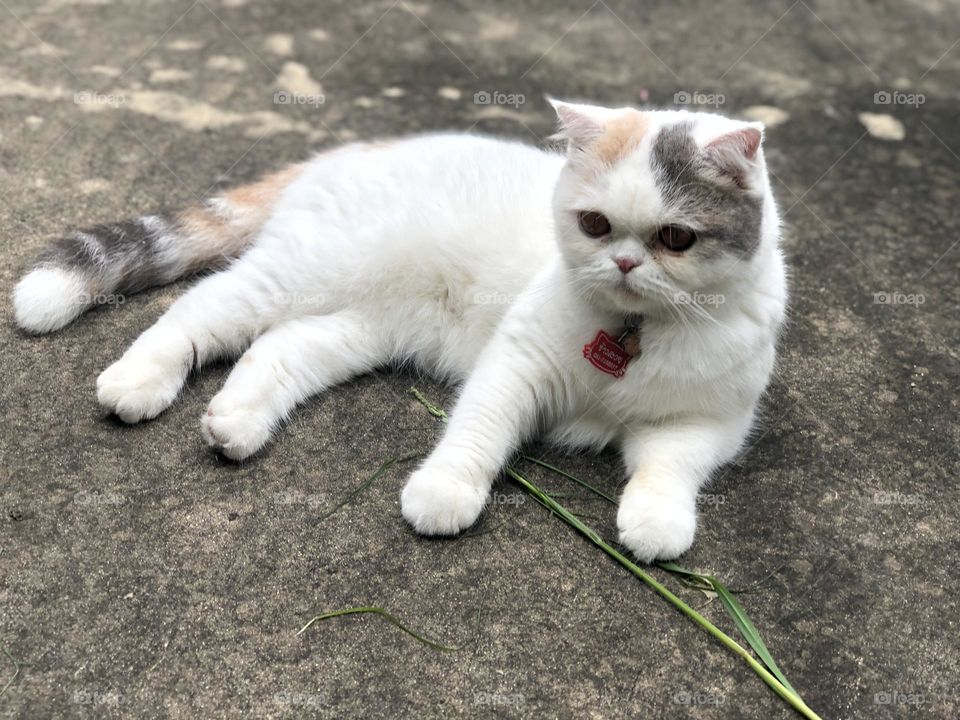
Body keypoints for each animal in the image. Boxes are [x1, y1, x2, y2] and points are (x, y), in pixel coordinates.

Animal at [11, 101, 784, 564]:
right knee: (201, 308)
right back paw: (139, 380)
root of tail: (356, 149)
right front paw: (444, 493)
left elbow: (672, 467)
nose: (623, 263)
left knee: (279, 346)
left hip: (366, 325)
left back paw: (237, 422)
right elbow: (478, 433)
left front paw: (655, 521)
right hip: (304, 271)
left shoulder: (710, 421)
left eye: (676, 238)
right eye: (594, 224)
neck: (632, 331)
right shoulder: (515, 363)